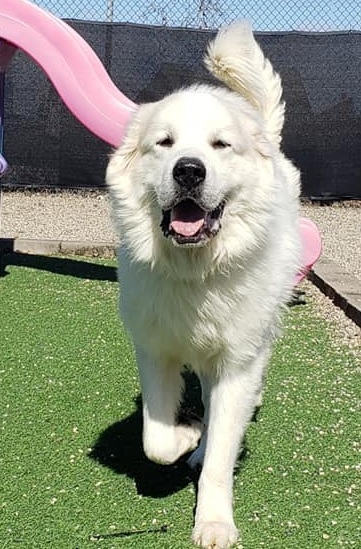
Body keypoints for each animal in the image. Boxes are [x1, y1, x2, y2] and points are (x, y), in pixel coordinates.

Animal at [105, 22, 300, 548]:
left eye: (220, 146)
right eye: (165, 142)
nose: (189, 170)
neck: (195, 272)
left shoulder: (235, 364)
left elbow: (219, 459)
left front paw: (213, 522)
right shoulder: (153, 350)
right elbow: (154, 438)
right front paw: (185, 436)